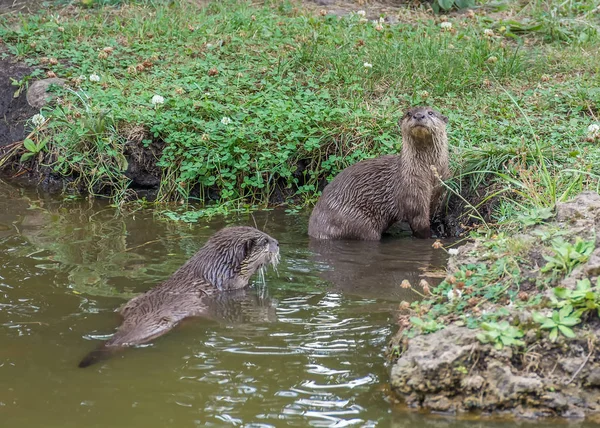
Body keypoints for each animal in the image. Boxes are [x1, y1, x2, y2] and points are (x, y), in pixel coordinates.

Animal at [310, 106, 450, 241]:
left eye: (430, 112)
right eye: (409, 113)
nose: (419, 115)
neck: (427, 173)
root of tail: (314, 228)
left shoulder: (437, 190)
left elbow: (431, 213)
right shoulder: (413, 192)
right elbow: (419, 223)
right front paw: (431, 237)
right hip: (355, 221)